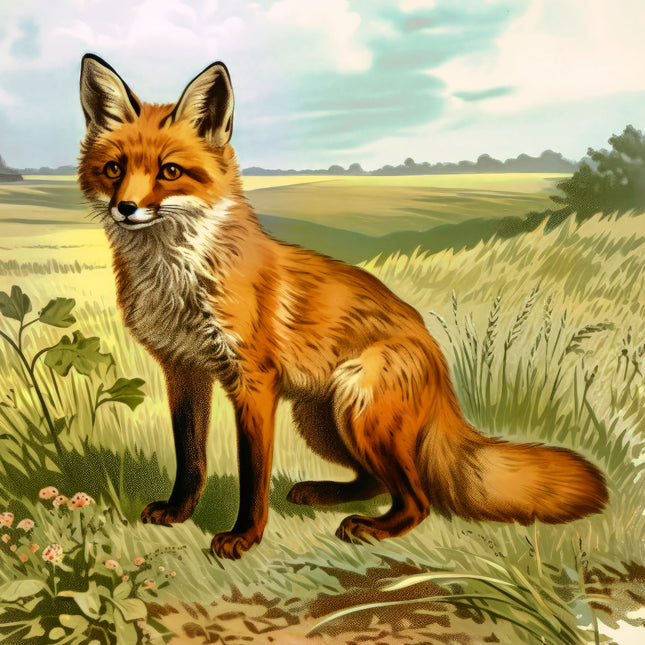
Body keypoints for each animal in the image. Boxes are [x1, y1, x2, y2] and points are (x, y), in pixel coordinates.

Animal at [78, 54, 608, 559]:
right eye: (114, 169)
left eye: (169, 171)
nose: (125, 208)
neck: (176, 282)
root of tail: (437, 360)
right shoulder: (183, 370)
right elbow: (190, 458)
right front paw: (179, 512)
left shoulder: (253, 382)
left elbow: (252, 474)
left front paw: (244, 536)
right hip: (320, 420)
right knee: (377, 482)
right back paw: (323, 493)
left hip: (357, 408)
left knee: (418, 499)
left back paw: (372, 528)